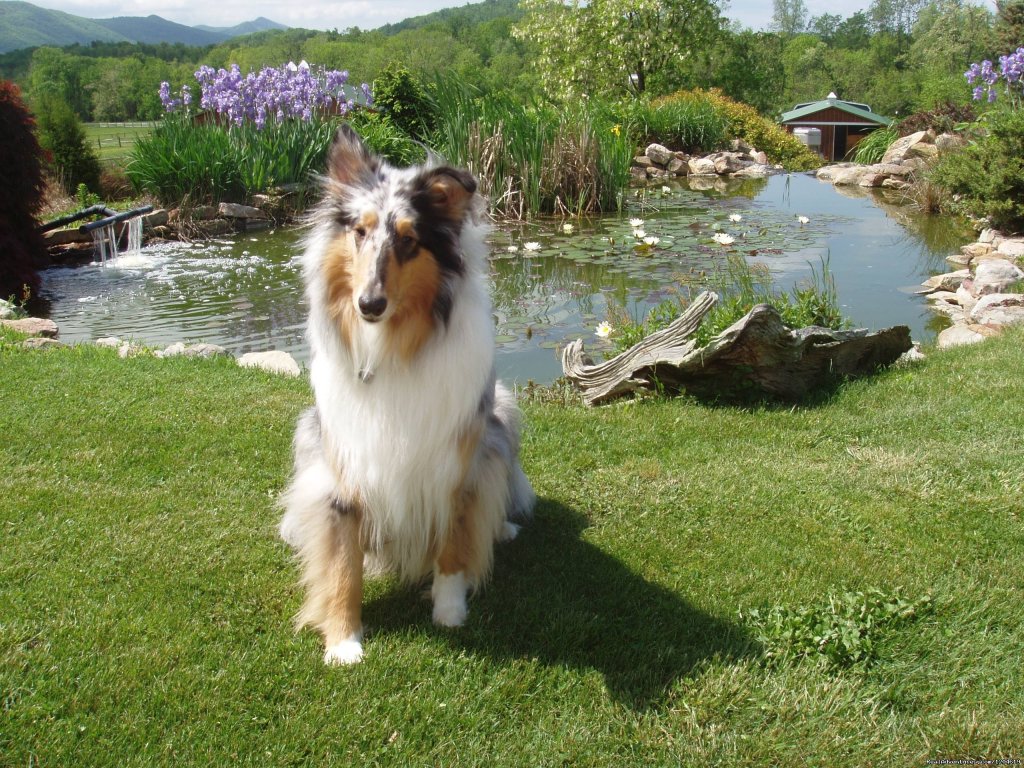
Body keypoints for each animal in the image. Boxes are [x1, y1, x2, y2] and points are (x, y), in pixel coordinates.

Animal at [280, 126, 536, 667]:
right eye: (359, 232)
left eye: (408, 241)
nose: (369, 304)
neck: (394, 350)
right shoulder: (344, 467)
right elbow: (342, 565)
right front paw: (343, 642)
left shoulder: (458, 462)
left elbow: (454, 547)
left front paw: (450, 612)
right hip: (308, 432)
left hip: (501, 415)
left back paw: (502, 526)